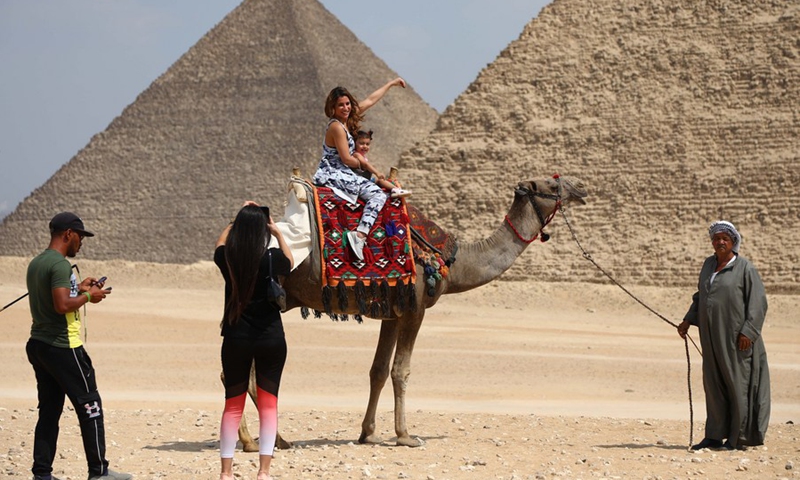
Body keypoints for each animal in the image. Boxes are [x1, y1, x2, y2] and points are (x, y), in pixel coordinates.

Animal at [234, 175, 584, 450]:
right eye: (552, 184)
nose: (581, 187)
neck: (454, 262)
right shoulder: (415, 308)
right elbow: (400, 371)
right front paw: (405, 435)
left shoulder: (392, 313)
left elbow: (377, 371)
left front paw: (368, 433)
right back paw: (262, 440)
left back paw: (265, 440)